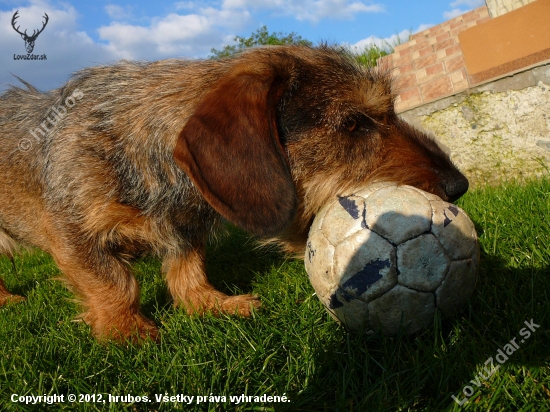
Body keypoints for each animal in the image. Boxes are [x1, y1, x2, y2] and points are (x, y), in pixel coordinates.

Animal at [0, 44, 470, 342]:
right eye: (352, 123)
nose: (458, 186)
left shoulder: (184, 231)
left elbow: (186, 269)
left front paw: (211, 304)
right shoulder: (72, 232)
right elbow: (114, 283)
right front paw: (125, 332)